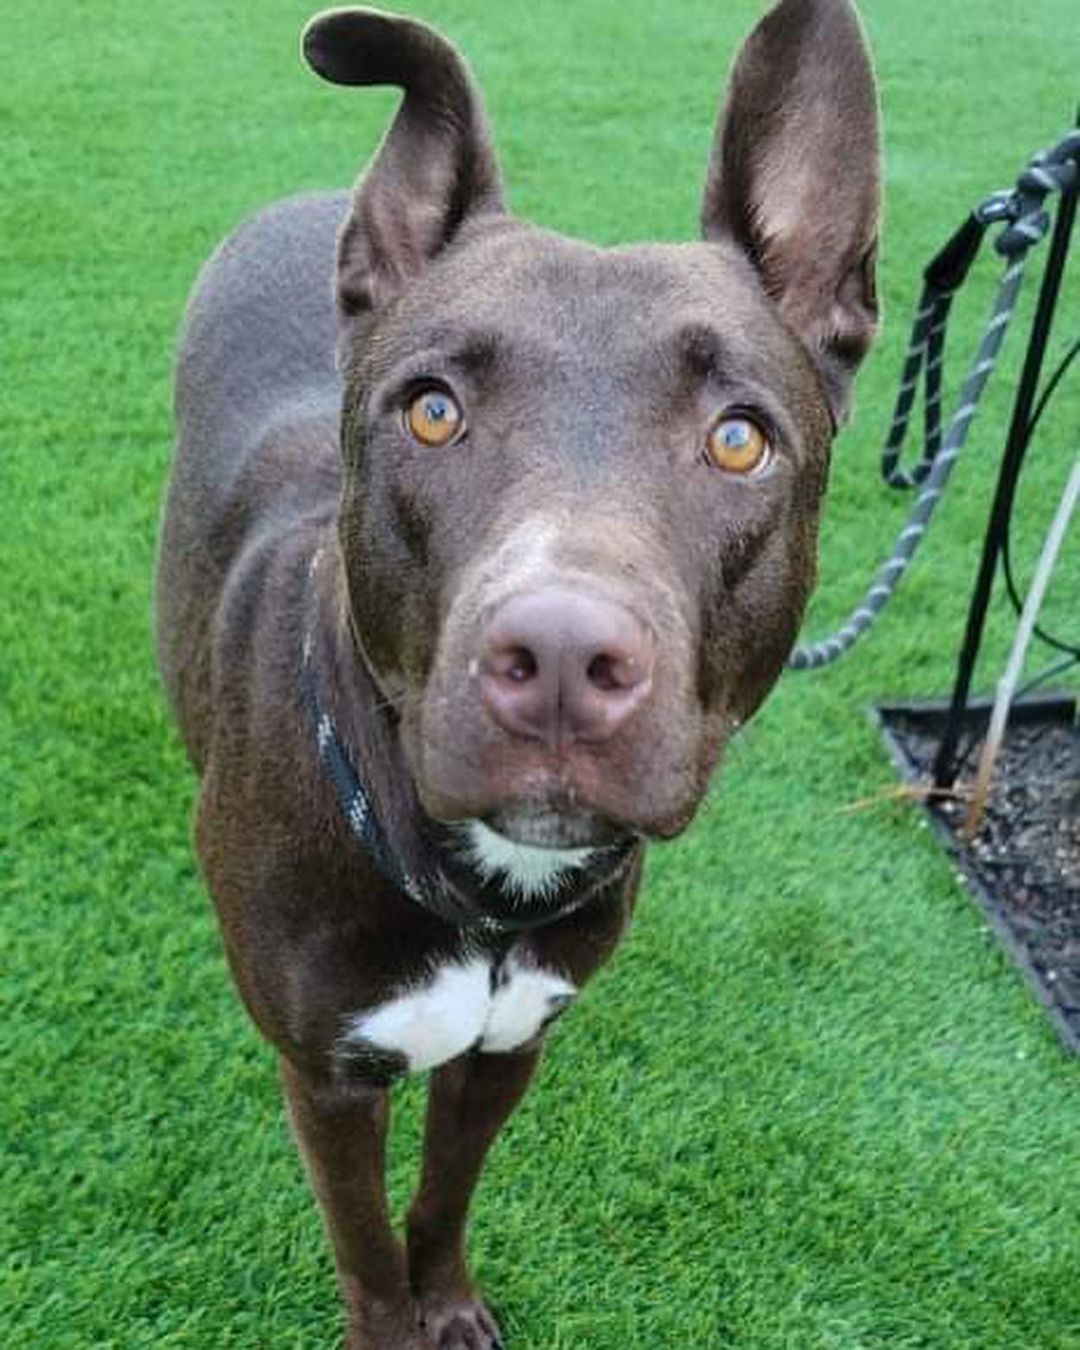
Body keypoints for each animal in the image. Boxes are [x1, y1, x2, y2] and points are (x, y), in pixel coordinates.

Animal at [153, 2, 874, 1350]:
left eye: (739, 439)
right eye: (431, 411)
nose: (560, 662)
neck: (481, 895)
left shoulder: (511, 1048)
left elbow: (441, 1201)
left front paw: (451, 1304)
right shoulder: (329, 1082)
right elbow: (367, 1253)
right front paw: (396, 1325)